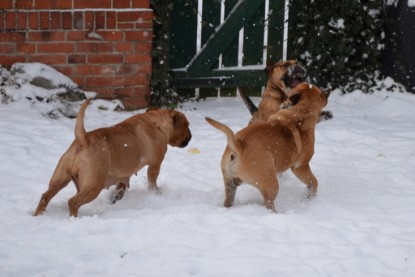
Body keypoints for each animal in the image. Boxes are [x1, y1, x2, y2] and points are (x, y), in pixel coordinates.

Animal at [33, 98, 193, 217]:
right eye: (187, 125)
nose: (191, 136)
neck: (156, 122)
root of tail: (83, 139)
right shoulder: (155, 164)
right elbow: (152, 182)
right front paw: (156, 193)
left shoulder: (123, 174)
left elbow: (120, 187)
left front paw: (116, 198)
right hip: (93, 185)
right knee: (73, 202)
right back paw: (73, 218)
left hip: (60, 179)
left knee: (45, 196)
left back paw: (38, 215)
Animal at [207, 82, 332, 211]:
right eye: (321, 94)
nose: (329, 90)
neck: (299, 112)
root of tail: (238, 146)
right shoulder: (300, 166)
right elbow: (313, 181)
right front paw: (310, 195)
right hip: (271, 184)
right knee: (268, 203)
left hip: (230, 184)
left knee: (229, 200)